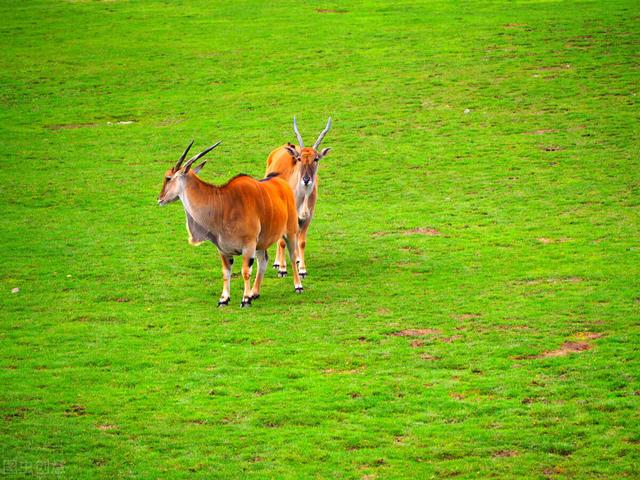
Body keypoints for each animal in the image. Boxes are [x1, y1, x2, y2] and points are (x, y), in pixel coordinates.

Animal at [158, 142, 302, 308]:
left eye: (168, 178)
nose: (160, 199)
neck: (224, 205)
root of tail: (282, 183)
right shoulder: (223, 249)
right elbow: (226, 272)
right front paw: (224, 299)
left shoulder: (248, 246)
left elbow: (245, 271)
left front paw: (245, 299)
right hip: (261, 243)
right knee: (263, 261)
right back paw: (255, 292)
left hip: (290, 233)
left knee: (292, 256)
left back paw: (298, 286)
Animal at [266, 116, 332, 280]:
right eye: (300, 158)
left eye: (316, 159)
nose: (306, 179)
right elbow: (283, 242)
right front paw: (282, 269)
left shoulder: (307, 218)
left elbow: (301, 242)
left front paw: (302, 270)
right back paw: (278, 263)